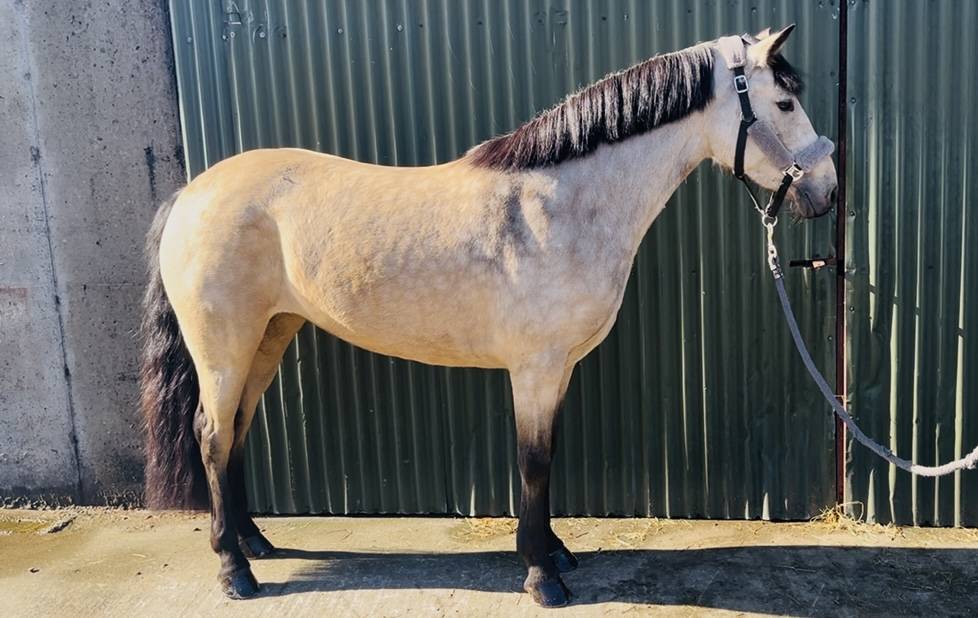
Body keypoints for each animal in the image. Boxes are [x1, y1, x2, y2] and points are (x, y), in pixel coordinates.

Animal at [140, 26, 837, 607]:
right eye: (783, 103)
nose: (827, 192)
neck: (559, 204)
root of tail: (192, 193)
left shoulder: (558, 368)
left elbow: (547, 457)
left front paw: (554, 551)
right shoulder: (534, 367)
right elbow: (533, 461)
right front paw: (541, 576)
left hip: (268, 337)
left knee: (235, 432)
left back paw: (254, 542)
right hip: (223, 346)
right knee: (212, 434)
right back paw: (234, 570)